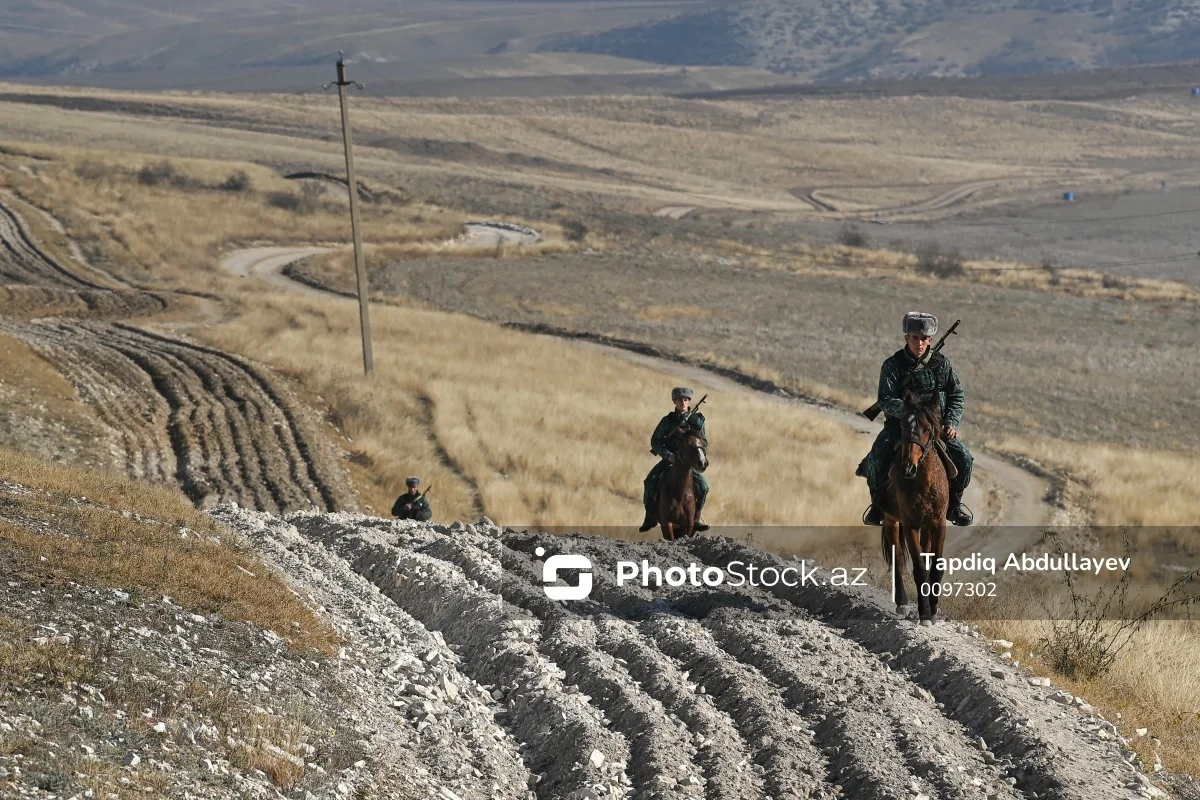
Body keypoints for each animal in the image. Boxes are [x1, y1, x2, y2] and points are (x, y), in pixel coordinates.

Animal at [878, 393, 950, 623]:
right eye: (902, 425)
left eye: (927, 429)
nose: (907, 468)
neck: (924, 484)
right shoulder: (910, 525)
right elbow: (919, 569)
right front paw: (924, 612)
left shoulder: (938, 524)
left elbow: (935, 567)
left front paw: (933, 608)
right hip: (891, 521)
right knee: (898, 559)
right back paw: (901, 602)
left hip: (924, 527)